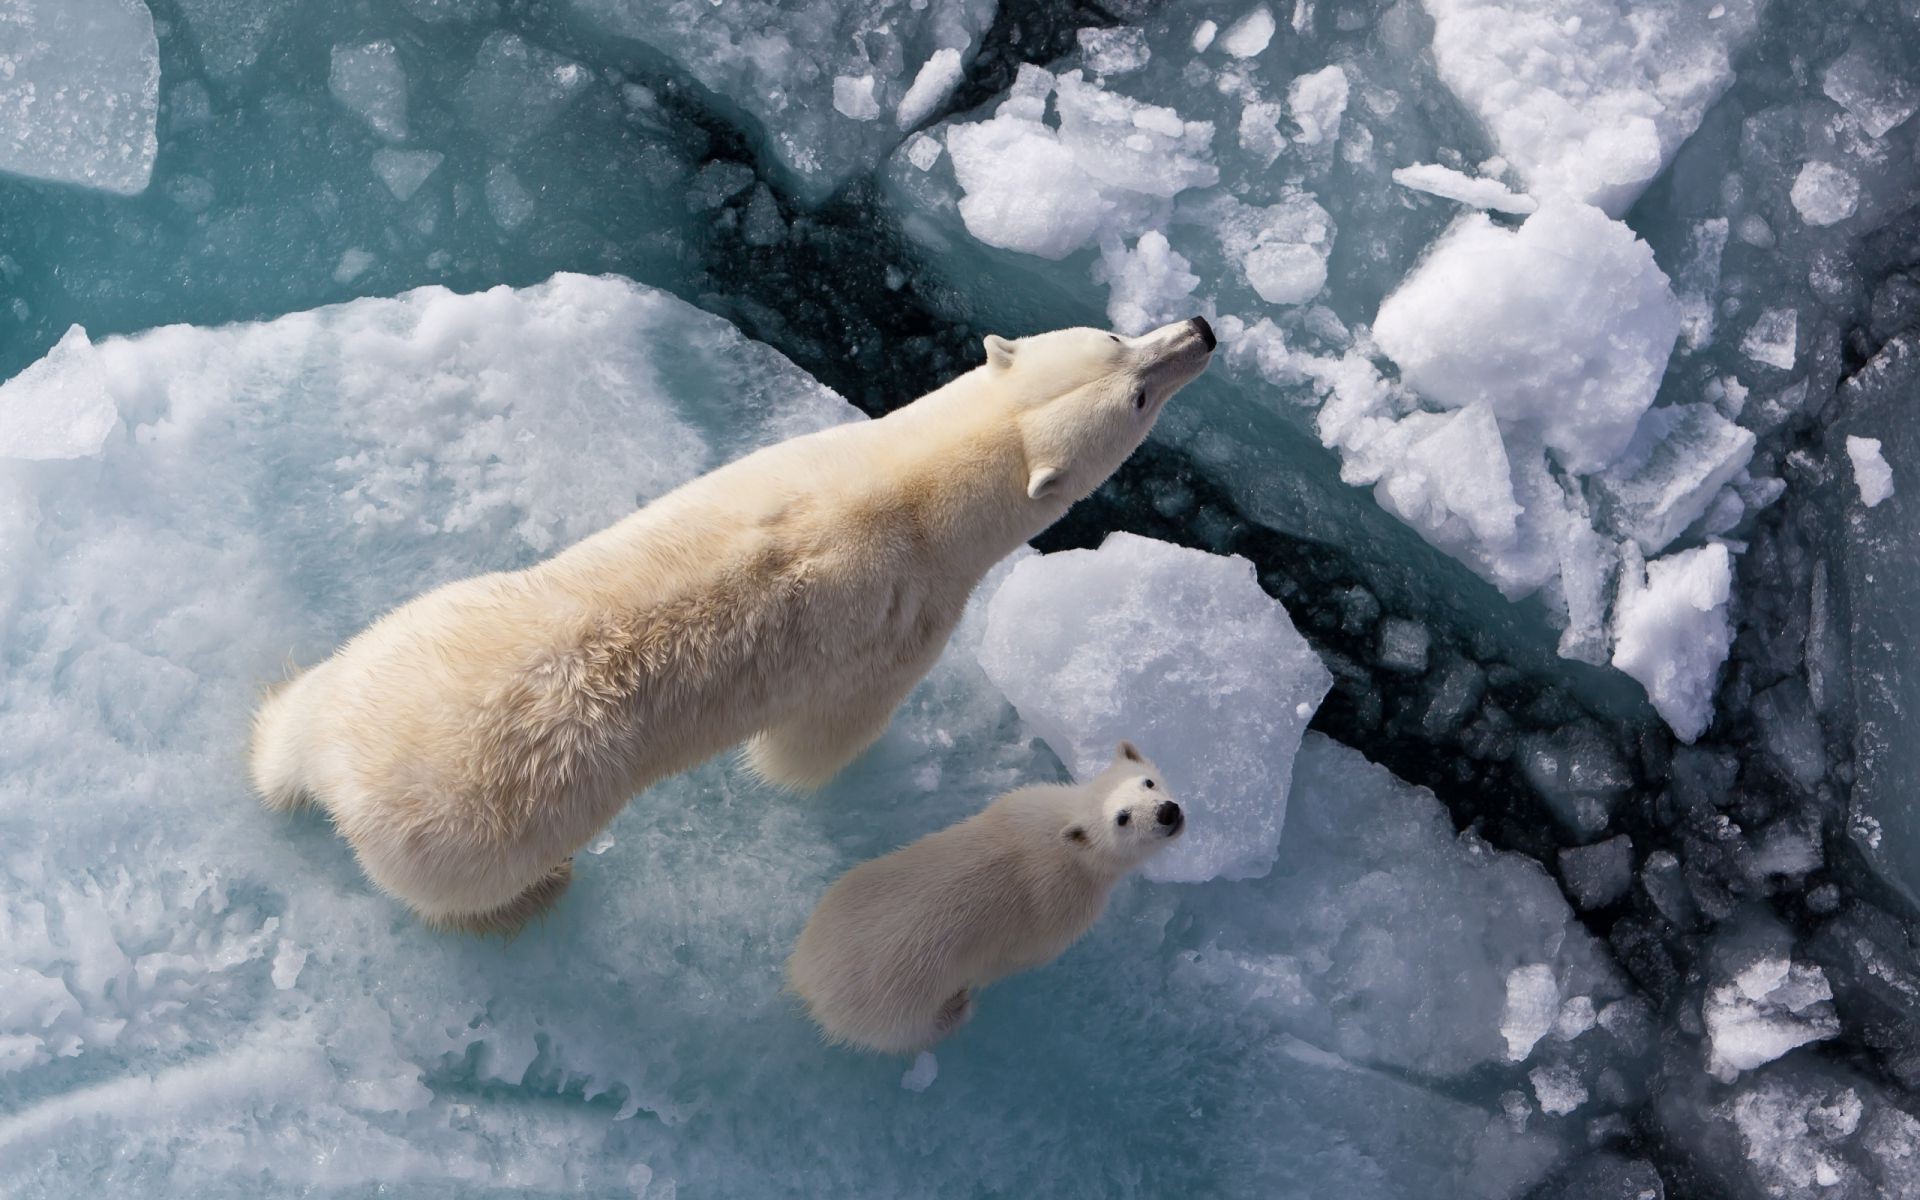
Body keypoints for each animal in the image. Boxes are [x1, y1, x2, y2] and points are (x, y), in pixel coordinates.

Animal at [251, 316, 1213, 925]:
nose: (1200, 330)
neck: (911, 488)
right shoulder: (903, 623)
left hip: (408, 636)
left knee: (304, 705)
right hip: (480, 829)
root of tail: (344, 773)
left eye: (1116, 341)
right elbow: (818, 743)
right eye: (1133, 387)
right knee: (466, 889)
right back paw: (540, 892)